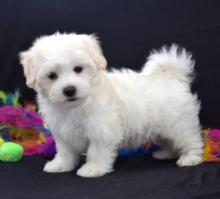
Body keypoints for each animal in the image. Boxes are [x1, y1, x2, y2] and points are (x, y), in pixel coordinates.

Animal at [20, 32, 203, 177]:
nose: (69, 90)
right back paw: (165, 153)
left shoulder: (101, 130)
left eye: (78, 69)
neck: (75, 107)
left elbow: (96, 151)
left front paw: (93, 169)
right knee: (168, 141)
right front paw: (60, 165)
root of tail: (169, 77)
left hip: (177, 123)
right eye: (52, 76)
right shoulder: (63, 132)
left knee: (190, 139)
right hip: (161, 129)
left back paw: (190, 158)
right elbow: (65, 151)